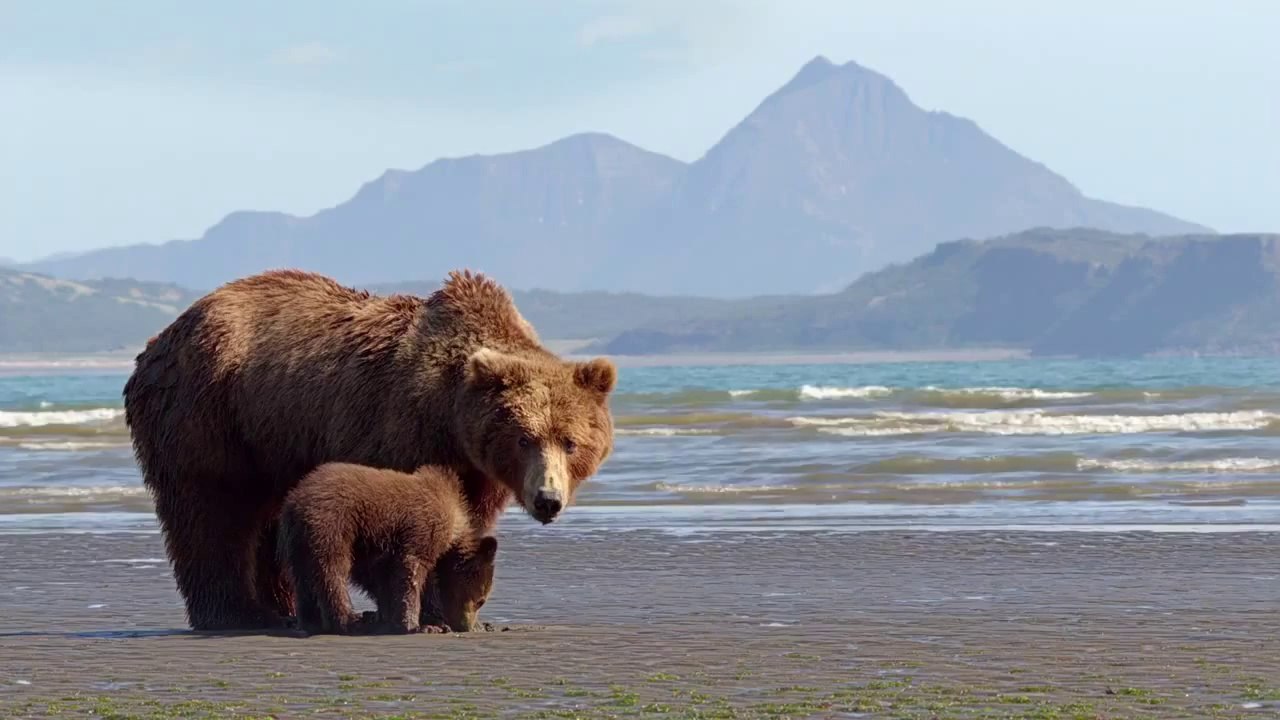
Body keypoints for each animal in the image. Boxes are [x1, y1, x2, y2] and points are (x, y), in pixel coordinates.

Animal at [278, 462, 497, 635]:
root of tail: (296, 499)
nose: (467, 626)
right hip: (333, 523)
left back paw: (310, 620)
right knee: (332, 570)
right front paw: (419, 625)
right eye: (481, 600)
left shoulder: (376, 545)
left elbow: (381, 578)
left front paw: (389, 617)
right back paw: (350, 620)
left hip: (296, 538)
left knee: (302, 577)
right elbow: (410, 570)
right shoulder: (422, 529)